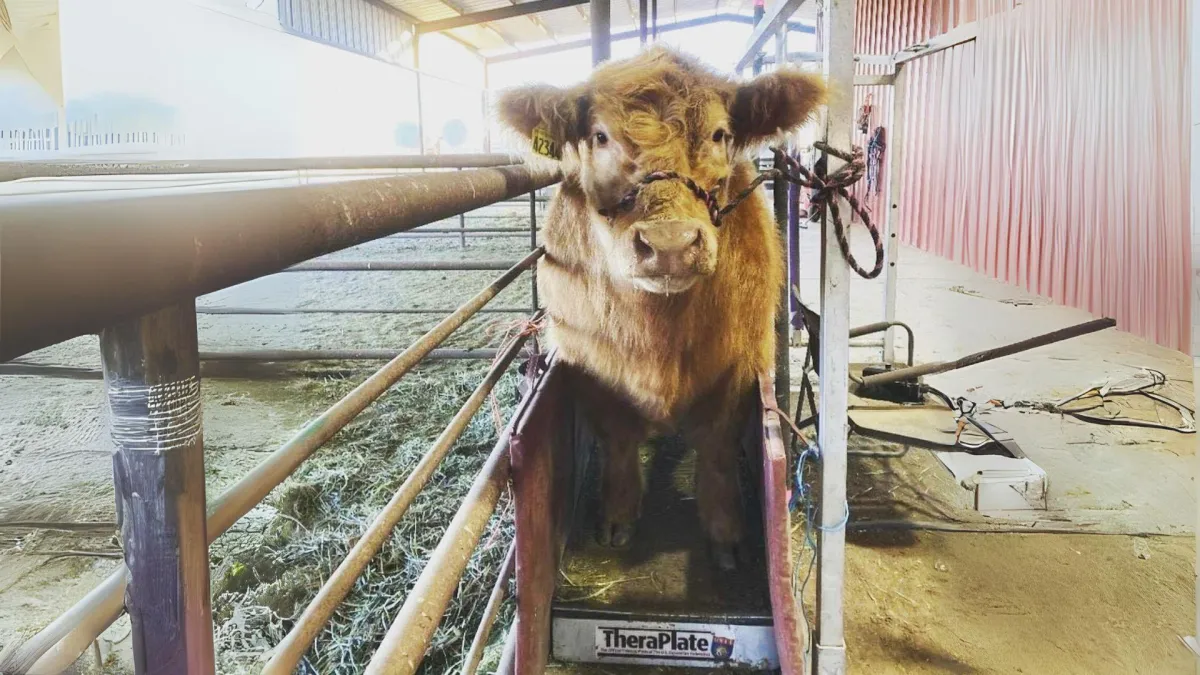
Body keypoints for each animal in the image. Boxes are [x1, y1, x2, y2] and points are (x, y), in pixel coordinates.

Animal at [496, 44, 825, 564]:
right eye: (600, 136)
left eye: (719, 133)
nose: (670, 245)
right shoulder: (590, 365)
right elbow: (618, 439)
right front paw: (617, 516)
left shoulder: (737, 366)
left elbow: (716, 448)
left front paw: (726, 534)